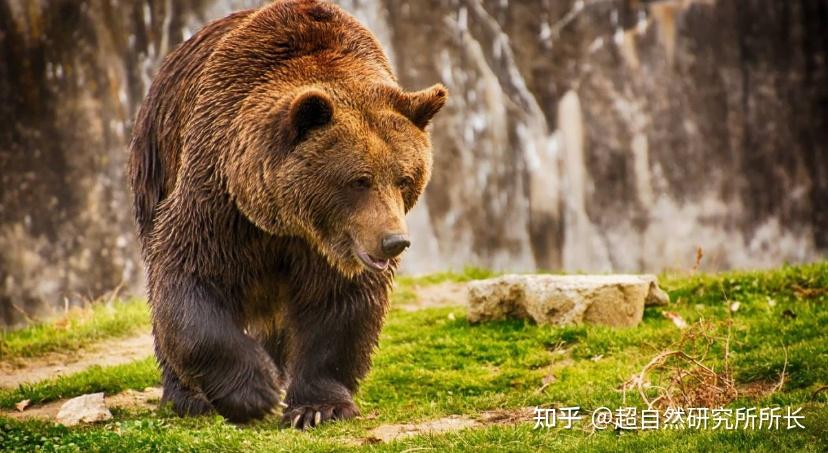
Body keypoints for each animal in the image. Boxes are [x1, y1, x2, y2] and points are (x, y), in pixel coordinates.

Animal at [129, 0, 446, 428]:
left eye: (405, 178)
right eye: (359, 180)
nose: (394, 241)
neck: (286, 221)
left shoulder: (332, 248)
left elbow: (339, 306)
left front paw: (317, 408)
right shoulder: (219, 198)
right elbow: (189, 278)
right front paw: (254, 392)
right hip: (156, 161)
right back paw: (188, 397)